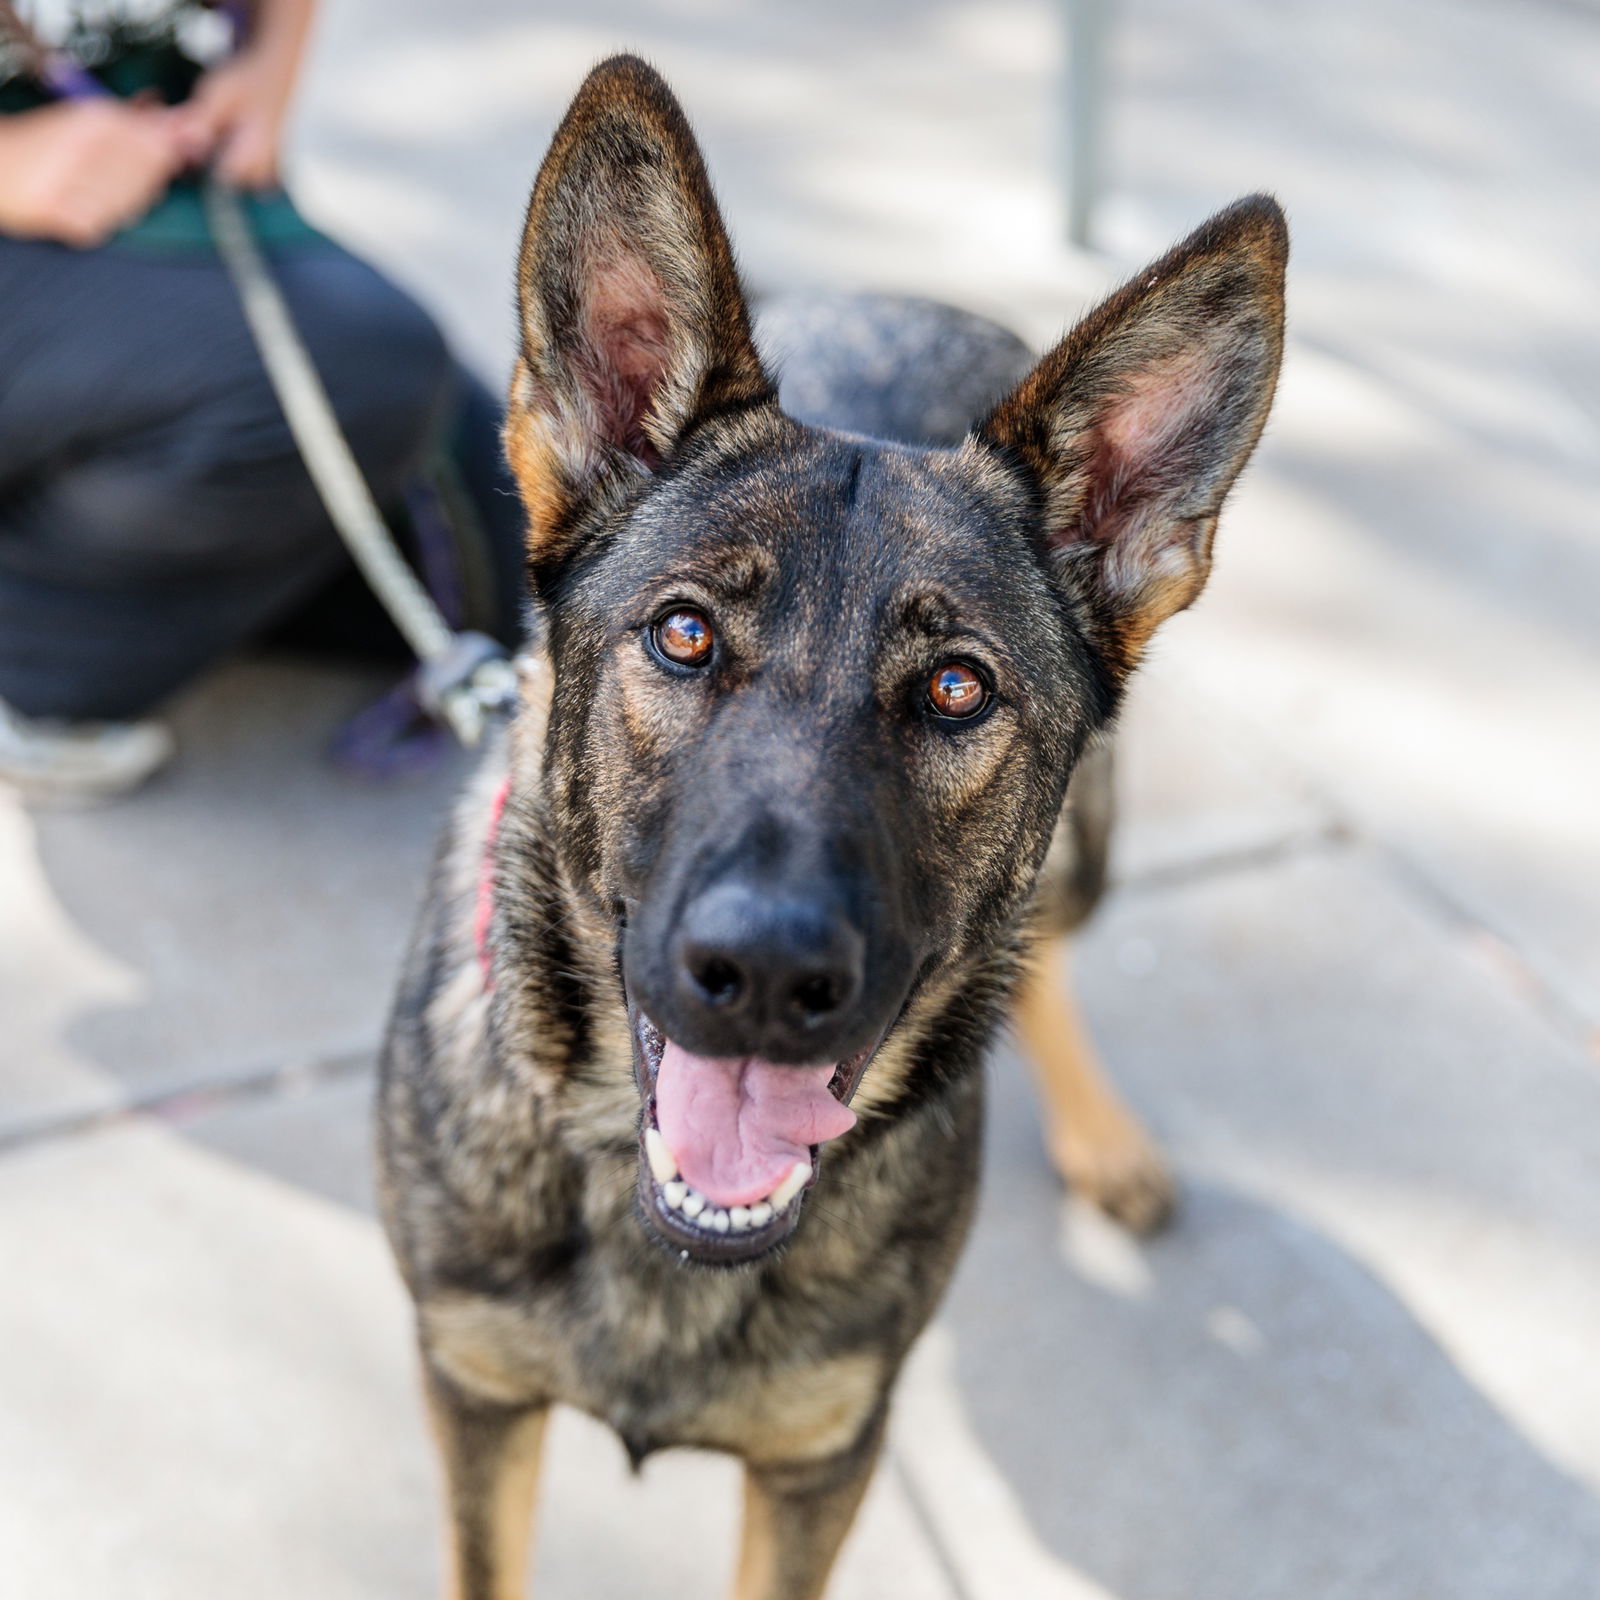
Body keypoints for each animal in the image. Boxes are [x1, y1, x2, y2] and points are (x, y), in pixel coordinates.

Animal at [380, 50, 1292, 1600]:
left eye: (956, 688)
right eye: (683, 634)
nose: (764, 978)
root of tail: (906, 293)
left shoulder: (821, 1465)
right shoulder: (474, 1400)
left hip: (1090, 850)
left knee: (1047, 954)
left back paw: (1102, 1136)